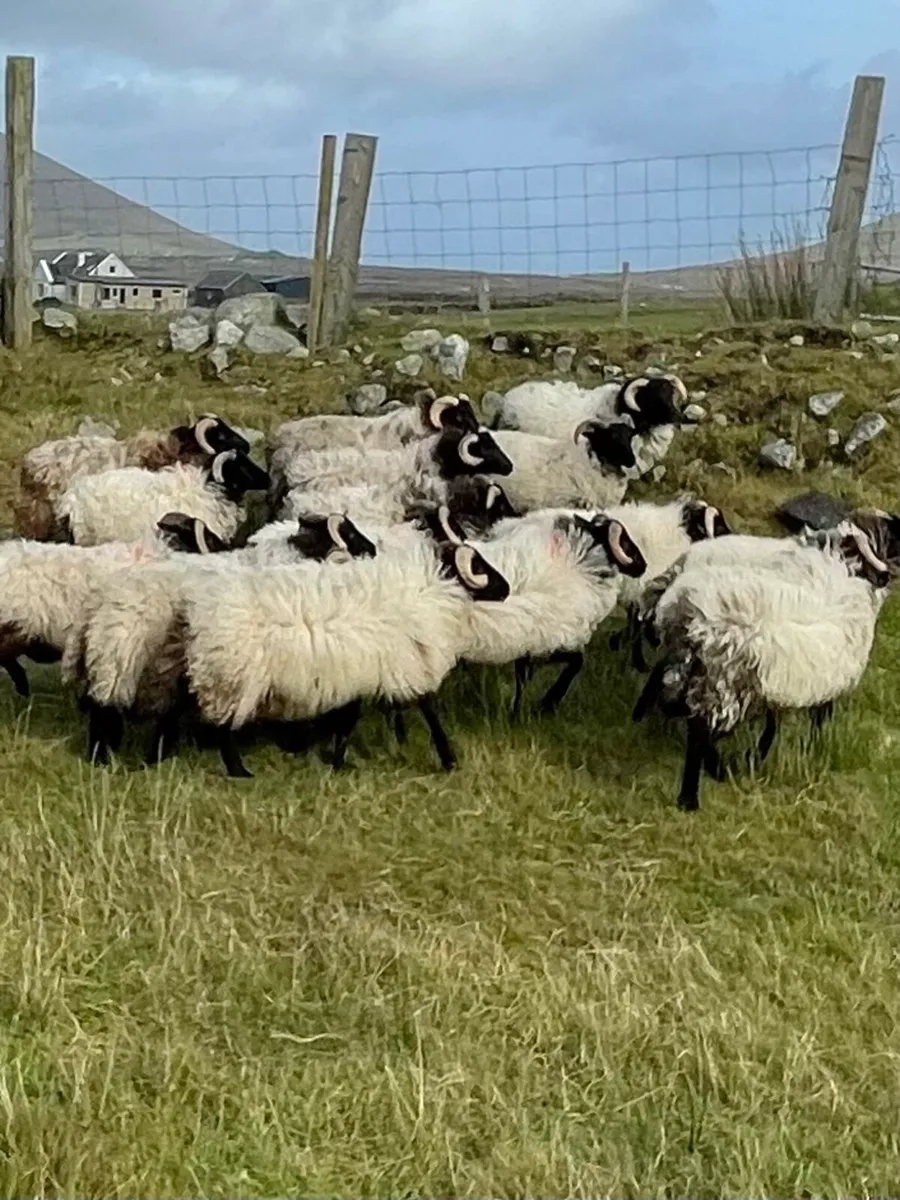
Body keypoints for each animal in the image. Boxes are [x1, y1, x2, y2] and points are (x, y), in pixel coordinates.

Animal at [181, 538, 511, 779]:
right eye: (478, 564)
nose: (506, 589)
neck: (431, 588)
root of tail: (204, 611)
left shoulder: (359, 673)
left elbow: (347, 721)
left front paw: (337, 763)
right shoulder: (405, 665)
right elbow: (429, 712)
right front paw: (448, 760)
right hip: (230, 679)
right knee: (223, 729)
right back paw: (239, 771)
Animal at [632, 520, 892, 810]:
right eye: (859, 548)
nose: (886, 575)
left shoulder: (777, 687)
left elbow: (772, 724)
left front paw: (759, 754)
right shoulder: (827, 683)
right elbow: (816, 718)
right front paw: (815, 743)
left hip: (698, 667)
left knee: (669, 688)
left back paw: (644, 719)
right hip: (724, 681)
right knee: (699, 729)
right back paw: (695, 791)